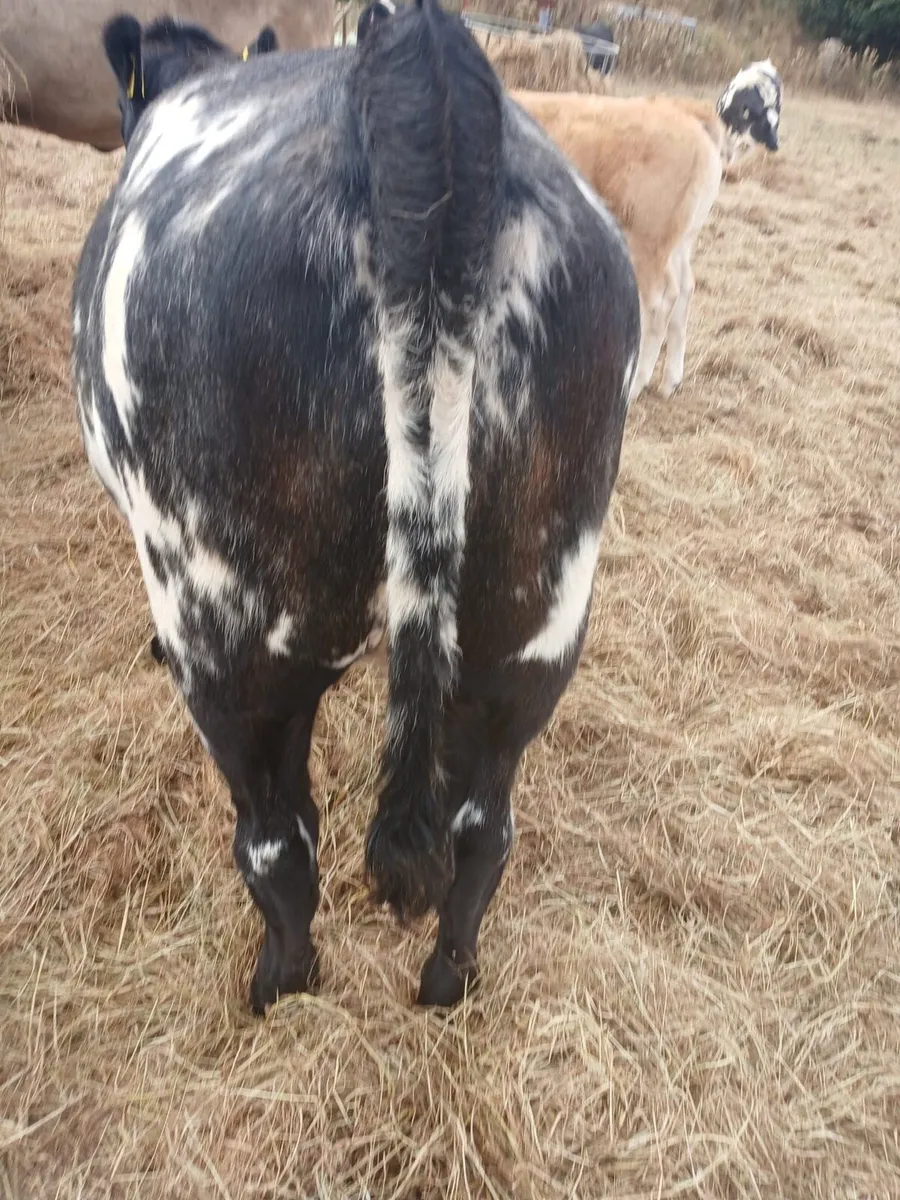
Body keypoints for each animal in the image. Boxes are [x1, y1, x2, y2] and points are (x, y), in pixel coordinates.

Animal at [72, 0, 640, 1014]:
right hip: (532, 628)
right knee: (483, 830)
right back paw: (446, 984)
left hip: (231, 640)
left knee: (276, 841)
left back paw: (279, 985)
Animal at [513, 90, 724, 401]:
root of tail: (684, 113)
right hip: (679, 242)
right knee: (685, 288)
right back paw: (670, 380)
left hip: (645, 242)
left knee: (659, 303)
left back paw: (636, 383)